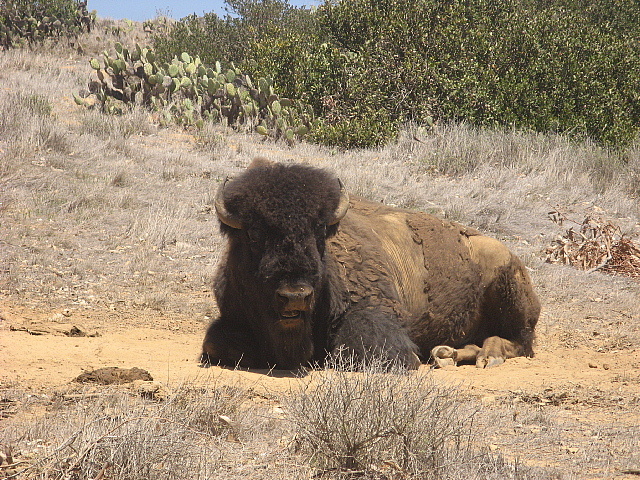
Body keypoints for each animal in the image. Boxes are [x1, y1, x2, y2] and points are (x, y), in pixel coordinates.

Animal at [201, 159, 540, 370]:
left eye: (319, 231)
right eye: (254, 233)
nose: (295, 295)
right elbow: (215, 344)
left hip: (509, 291)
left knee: (518, 341)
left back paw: (488, 356)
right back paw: (446, 354)